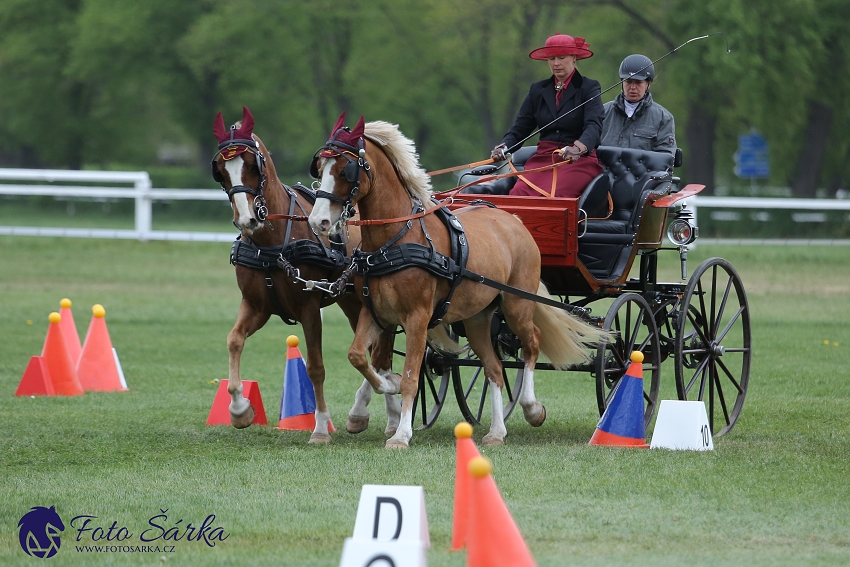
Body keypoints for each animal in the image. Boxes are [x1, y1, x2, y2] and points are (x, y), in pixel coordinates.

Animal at [212, 106, 398, 444]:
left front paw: (321, 428)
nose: (247, 219)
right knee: (377, 352)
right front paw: (239, 408)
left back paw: (375, 413)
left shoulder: (309, 309)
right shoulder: (256, 306)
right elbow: (234, 341)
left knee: (380, 353)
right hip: (353, 303)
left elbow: (316, 368)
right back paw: (386, 415)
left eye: (252, 165)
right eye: (220, 169)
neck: (272, 246)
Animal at [308, 115, 608, 448]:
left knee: (531, 344)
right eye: (319, 168)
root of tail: (514, 219)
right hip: (478, 319)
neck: (396, 239)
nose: (318, 221)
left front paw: (401, 433)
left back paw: (532, 409)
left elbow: (411, 376)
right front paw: (386, 388)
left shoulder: (417, 318)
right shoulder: (375, 313)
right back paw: (496, 431)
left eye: (345, 170)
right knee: (494, 368)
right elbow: (359, 356)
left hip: (517, 304)